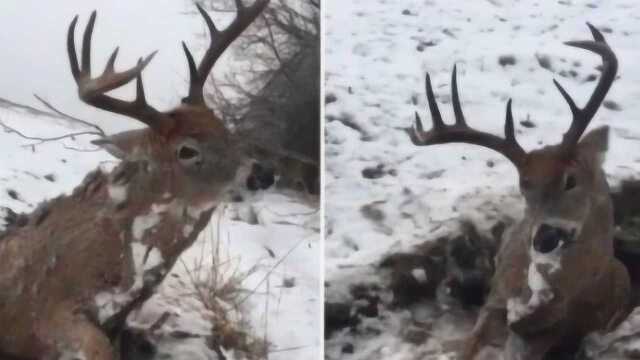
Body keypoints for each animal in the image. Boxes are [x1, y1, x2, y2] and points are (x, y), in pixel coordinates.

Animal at [408, 23, 632, 358]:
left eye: (571, 180)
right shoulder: (495, 301)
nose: (543, 238)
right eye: (523, 186)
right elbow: (469, 344)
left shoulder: (554, 332)